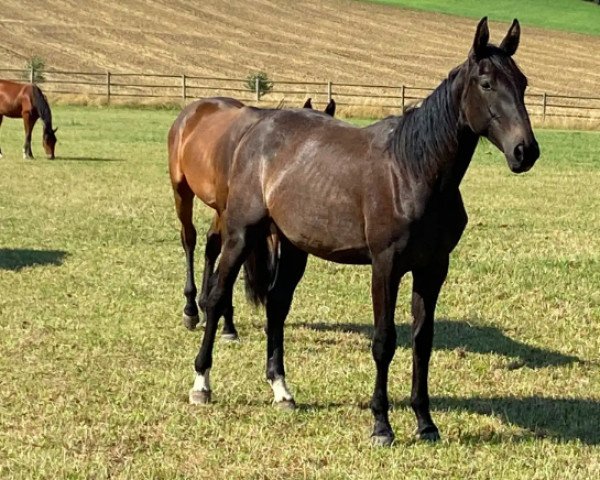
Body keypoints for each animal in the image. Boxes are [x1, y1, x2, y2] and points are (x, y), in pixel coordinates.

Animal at [169, 96, 338, 338]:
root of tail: (192, 111)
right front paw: (228, 326)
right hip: (182, 191)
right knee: (189, 239)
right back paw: (191, 309)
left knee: (211, 244)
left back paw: (203, 303)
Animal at [186, 17, 540, 446]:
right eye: (486, 83)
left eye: (522, 83)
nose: (525, 151)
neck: (413, 170)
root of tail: (255, 128)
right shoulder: (385, 266)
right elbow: (384, 341)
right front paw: (381, 425)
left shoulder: (433, 268)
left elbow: (422, 342)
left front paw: (425, 423)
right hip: (241, 234)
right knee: (217, 296)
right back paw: (201, 384)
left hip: (293, 246)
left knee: (276, 305)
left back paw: (282, 390)